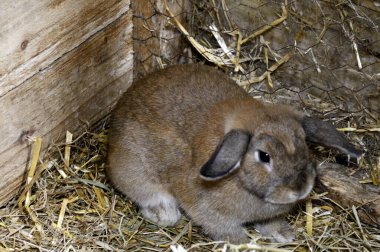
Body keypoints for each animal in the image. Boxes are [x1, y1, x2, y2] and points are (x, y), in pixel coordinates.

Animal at [107, 64, 362, 243]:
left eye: (304, 143)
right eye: (264, 156)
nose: (300, 189)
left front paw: (283, 234)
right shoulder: (207, 210)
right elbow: (224, 229)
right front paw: (243, 243)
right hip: (135, 173)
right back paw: (163, 213)